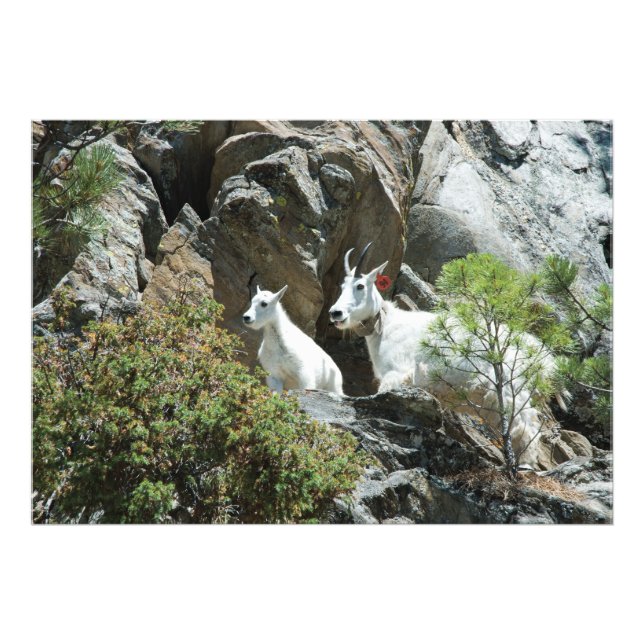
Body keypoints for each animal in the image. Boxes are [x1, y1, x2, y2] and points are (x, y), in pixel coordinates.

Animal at [329, 243, 565, 468]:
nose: (335, 313)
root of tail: (545, 360)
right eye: (341, 286)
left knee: (527, 424)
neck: (386, 325)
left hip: (512, 388)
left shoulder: (396, 373)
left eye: (360, 286)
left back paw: (525, 464)